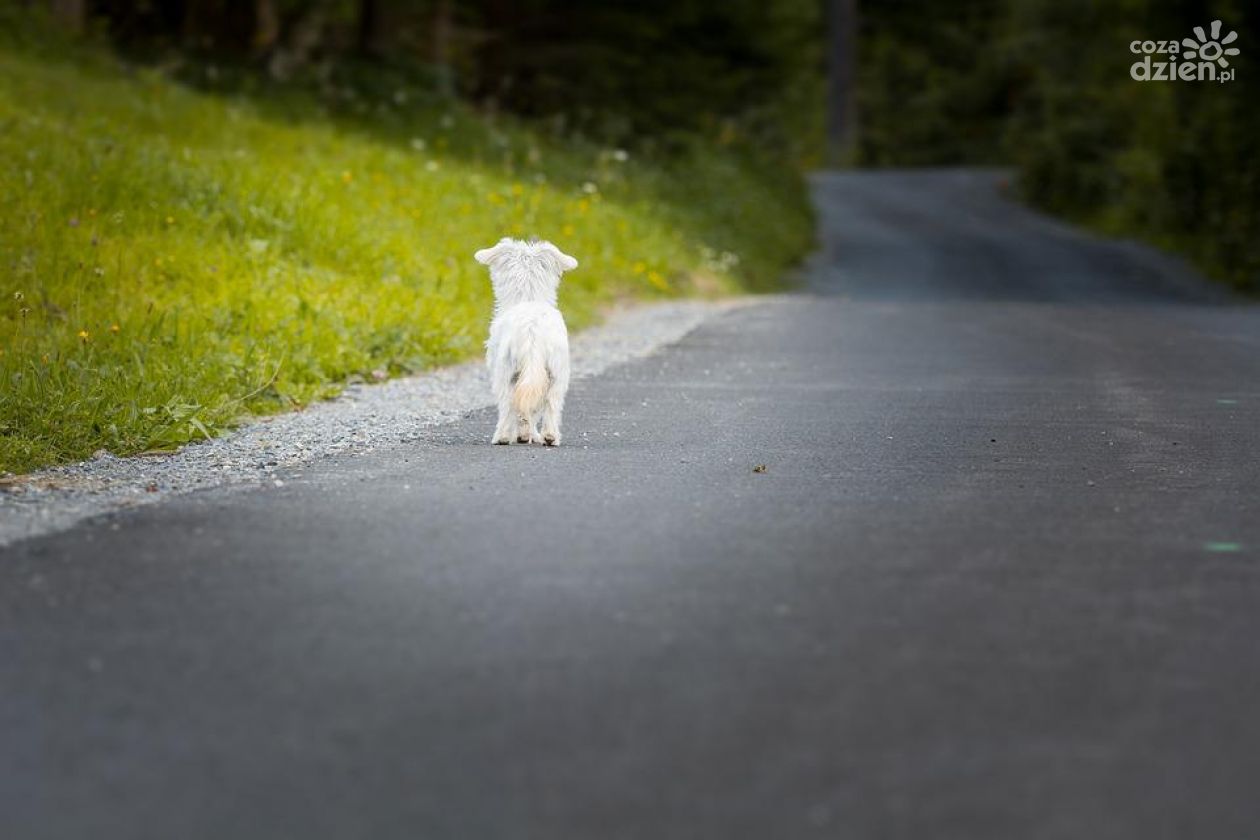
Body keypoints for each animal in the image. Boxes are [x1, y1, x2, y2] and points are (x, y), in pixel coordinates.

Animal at [473, 236, 577, 445]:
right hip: (557, 373)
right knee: (551, 404)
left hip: (505, 372)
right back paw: (550, 436)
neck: (528, 297)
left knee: (507, 405)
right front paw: (529, 434)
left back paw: (503, 437)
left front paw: (523, 434)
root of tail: (532, 331)